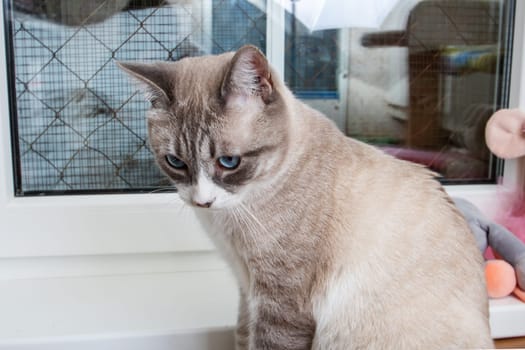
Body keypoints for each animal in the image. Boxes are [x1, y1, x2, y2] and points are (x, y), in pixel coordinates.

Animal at [117, 45, 492, 348]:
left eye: (229, 162)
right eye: (176, 162)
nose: (202, 202)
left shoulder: (281, 303)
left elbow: (268, 343)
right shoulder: (246, 288)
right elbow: (242, 336)